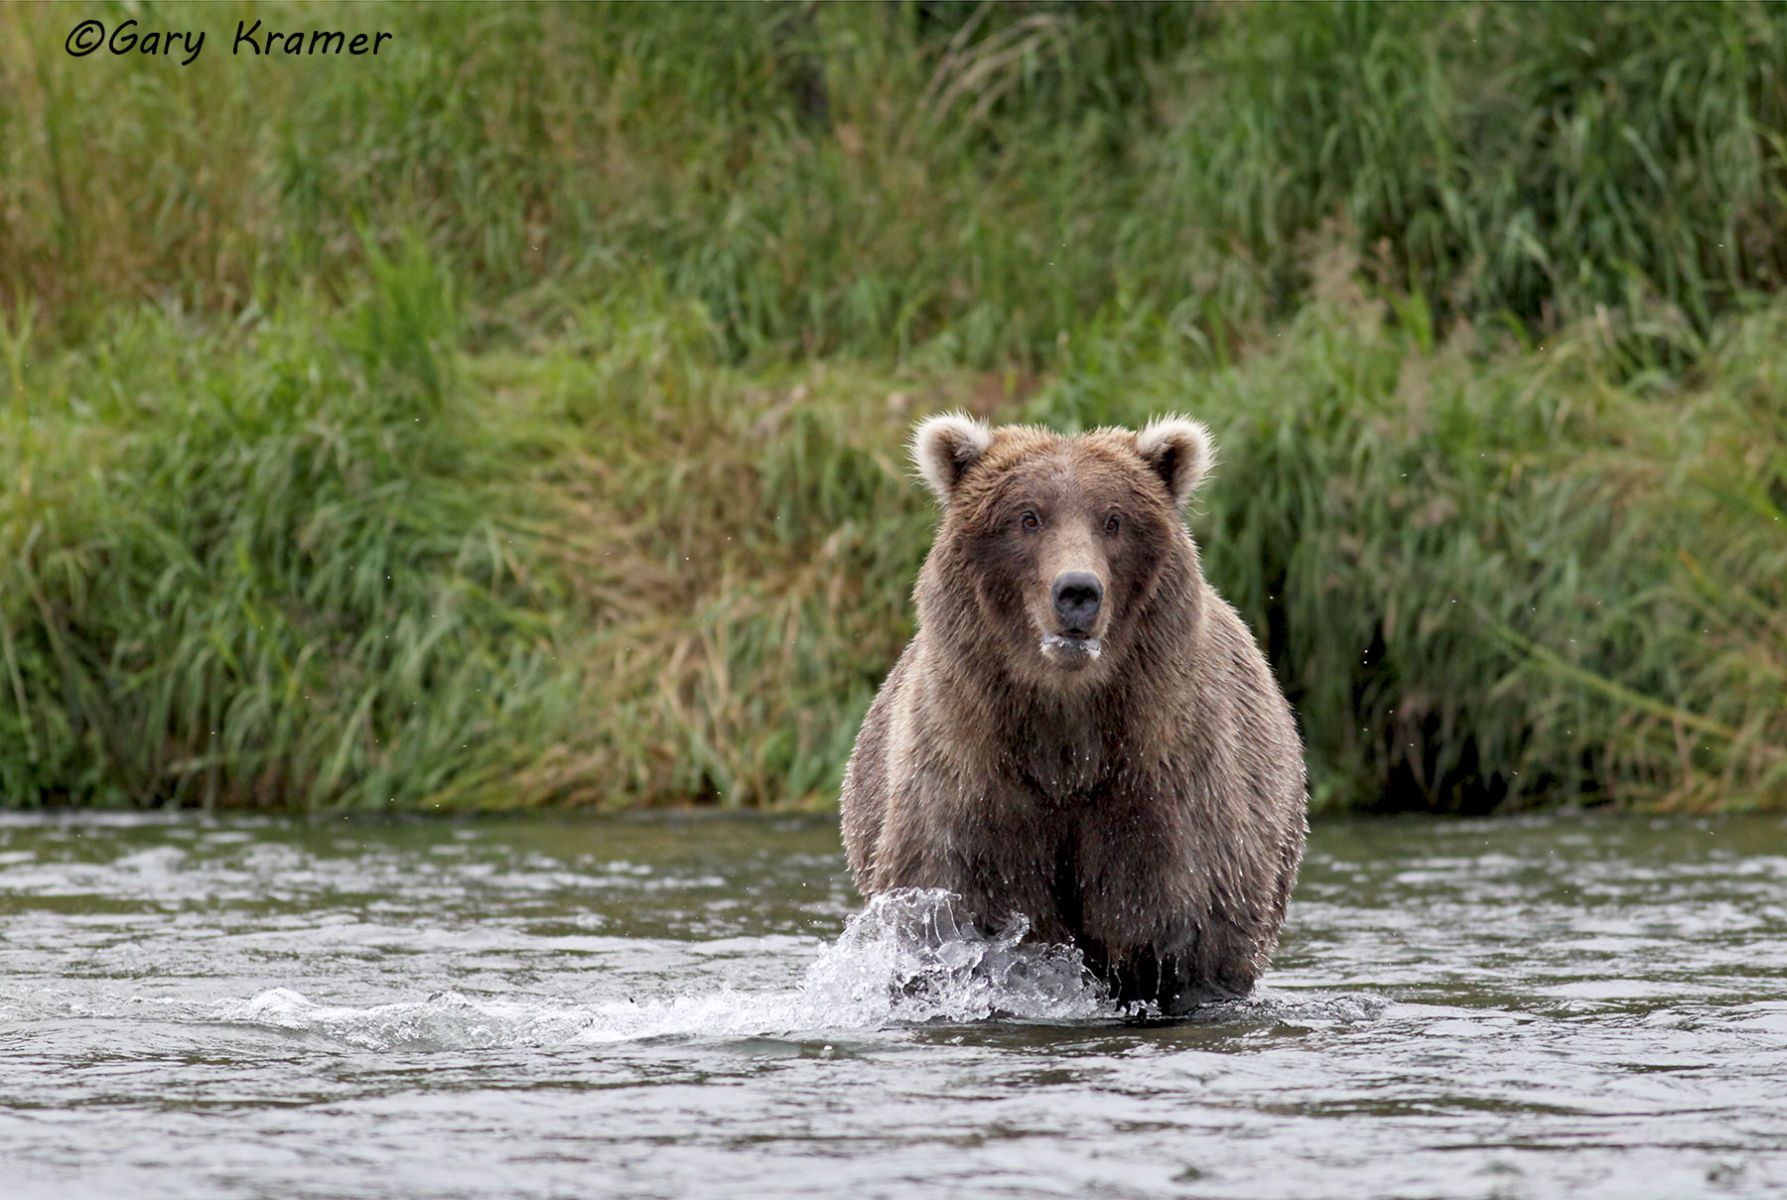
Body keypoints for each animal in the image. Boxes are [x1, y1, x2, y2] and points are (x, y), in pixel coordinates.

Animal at [840, 413, 1307, 1014]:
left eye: (1114, 520)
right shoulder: (970, 780)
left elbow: (1178, 929)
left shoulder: (1164, 789)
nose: (1078, 591)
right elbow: (961, 914)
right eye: (1028, 517)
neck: (1067, 730)